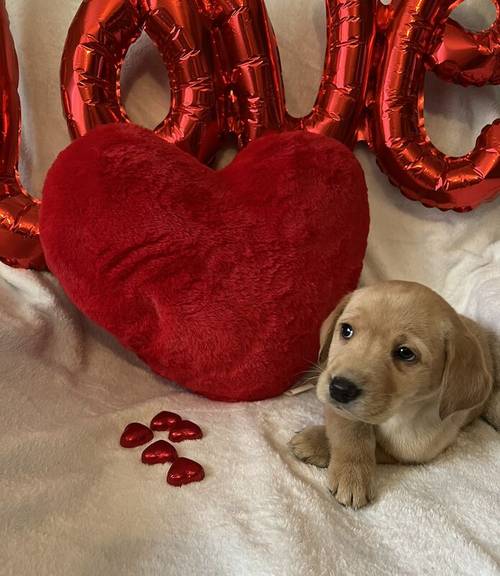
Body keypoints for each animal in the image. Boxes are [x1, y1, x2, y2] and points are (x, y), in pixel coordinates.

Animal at [288, 282, 498, 510]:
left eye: (405, 353)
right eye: (346, 330)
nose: (340, 389)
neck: (399, 412)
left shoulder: (414, 451)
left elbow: (377, 445)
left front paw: (339, 463)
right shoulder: (339, 404)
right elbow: (351, 430)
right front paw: (348, 468)